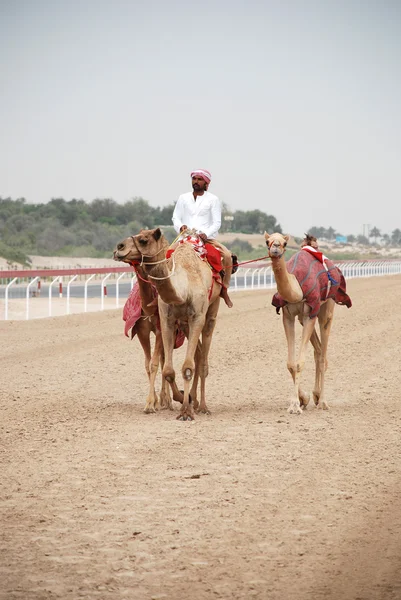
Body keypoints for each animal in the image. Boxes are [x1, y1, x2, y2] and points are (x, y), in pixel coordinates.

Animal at [113, 227, 222, 420]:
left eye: (144, 240)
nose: (119, 247)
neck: (183, 291)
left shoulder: (196, 318)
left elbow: (185, 367)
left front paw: (184, 410)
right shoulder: (164, 321)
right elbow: (165, 369)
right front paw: (170, 400)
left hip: (210, 313)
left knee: (202, 361)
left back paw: (202, 406)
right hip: (183, 325)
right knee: (197, 355)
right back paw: (189, 400)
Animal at [264, 232, 352, 414]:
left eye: (284, 243)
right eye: (267, 241)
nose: (275, 248)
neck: (296, 288)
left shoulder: (310, 313)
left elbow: (299, 363)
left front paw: (295, 406)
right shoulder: (288, 316)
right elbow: (291, 364)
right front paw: (302, 399)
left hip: (326, 308)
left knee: (323, 352)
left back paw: (324, 401)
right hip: (304, 318)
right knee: (318, 351)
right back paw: (316, 396)